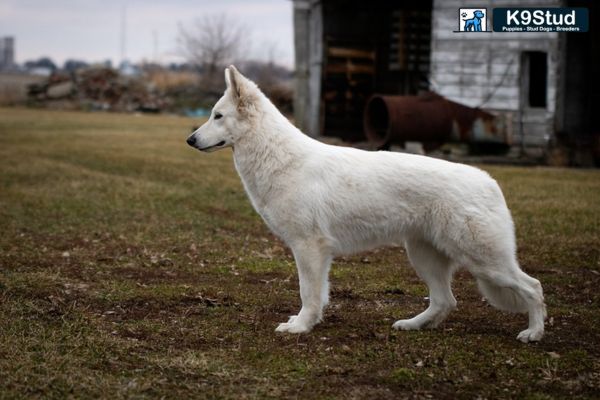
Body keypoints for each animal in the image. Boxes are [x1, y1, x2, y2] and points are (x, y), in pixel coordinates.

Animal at [189, 65, 548, 340]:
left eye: (217, 116)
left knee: (533, 287)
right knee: (445, 301)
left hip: (484, 260)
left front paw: (301, 327)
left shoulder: (309, 247)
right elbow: (317, 294)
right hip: (424, 256)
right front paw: (306, 323)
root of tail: (489, 181)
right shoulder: (314, 252)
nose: (190, 140)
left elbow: (308, 293)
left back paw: (534, 333)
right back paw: (413, 325)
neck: (279, 156)